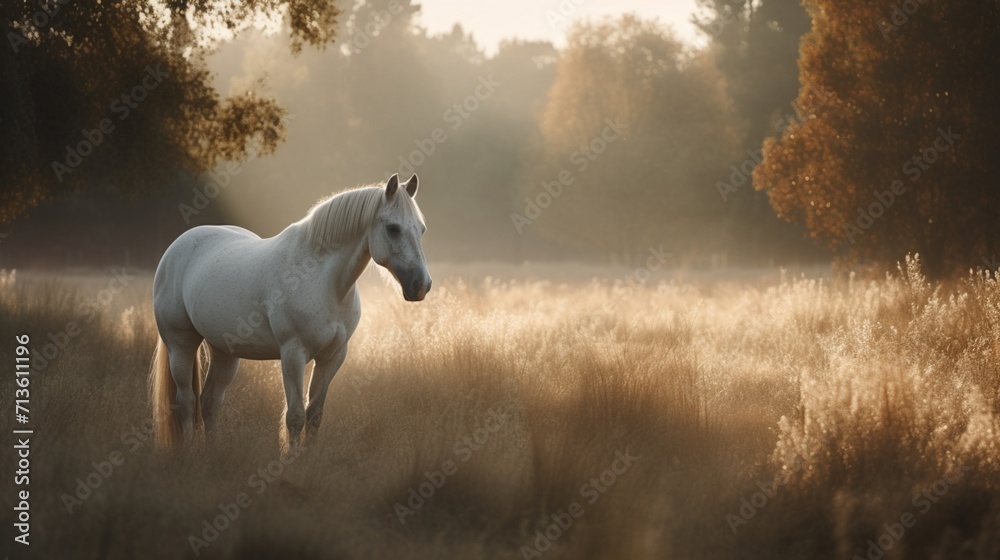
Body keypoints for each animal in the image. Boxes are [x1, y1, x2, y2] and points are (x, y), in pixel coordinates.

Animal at [149, 173, 431, 449]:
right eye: (393, 228)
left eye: (421, 229)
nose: (421, 285)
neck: (322, 279)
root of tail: (177, 246)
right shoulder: (293, 354)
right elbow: (295, 417)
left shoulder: (333, 356)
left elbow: (314, 414)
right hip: (180, 345)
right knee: (186, 402)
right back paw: (190, 452)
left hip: (225, 352)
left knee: (209, 403)